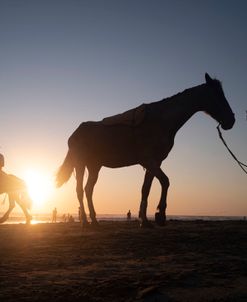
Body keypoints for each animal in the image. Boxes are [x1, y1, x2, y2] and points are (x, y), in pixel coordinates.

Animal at [56, 73, 235, 229]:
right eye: (217, 95)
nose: (231, 120)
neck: (161, 120)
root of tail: (74, 135)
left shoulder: (154, 162)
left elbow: (146, 189)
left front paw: (145, 221)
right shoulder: (149, 160)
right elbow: (165, 181)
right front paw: (160, 215)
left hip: (94, 167)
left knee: (88, 190)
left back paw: (94, 221)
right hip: (80, 165)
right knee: (80, 191)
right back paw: (86, 222)